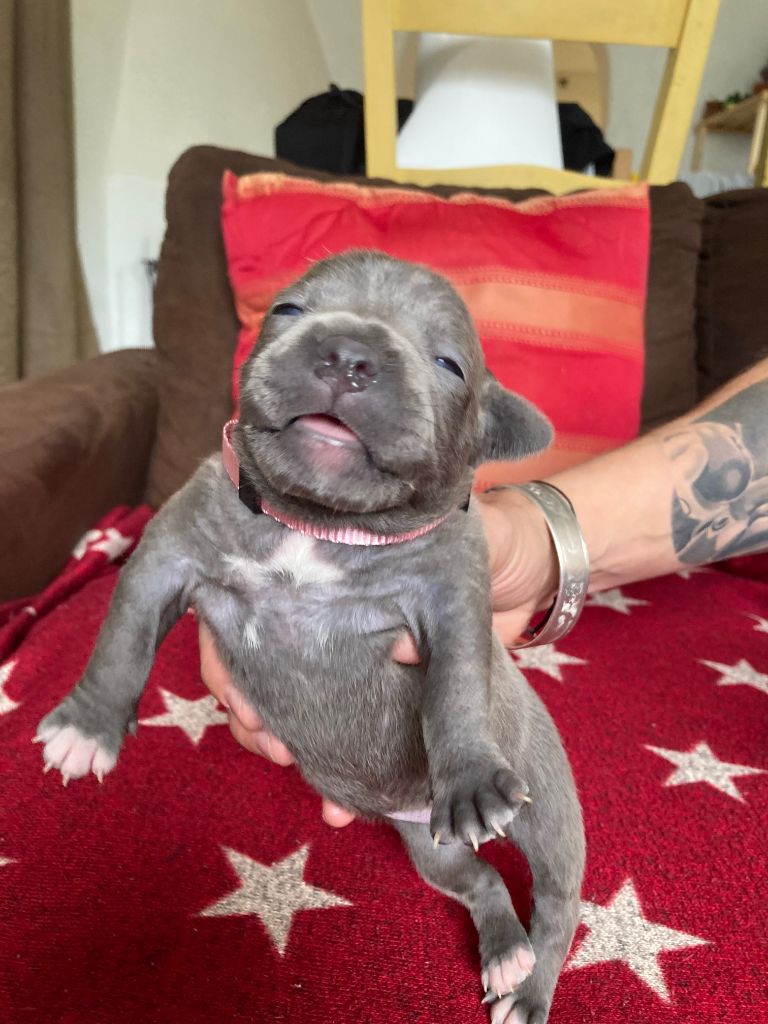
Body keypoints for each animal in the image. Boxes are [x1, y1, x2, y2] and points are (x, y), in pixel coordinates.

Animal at [37, 251, 585, 1024]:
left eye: (449, 364)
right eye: (288, 311)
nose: (349, 354)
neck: (317, 524)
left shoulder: (455, 601)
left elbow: (455, 691)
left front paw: (472, 778)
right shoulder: (164, 555)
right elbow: (121, 640)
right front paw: (87, 728)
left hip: (547, 805)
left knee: (559, 897)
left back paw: (529, 988)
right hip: (431, 850)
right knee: (480, 880)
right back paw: (507, 953)